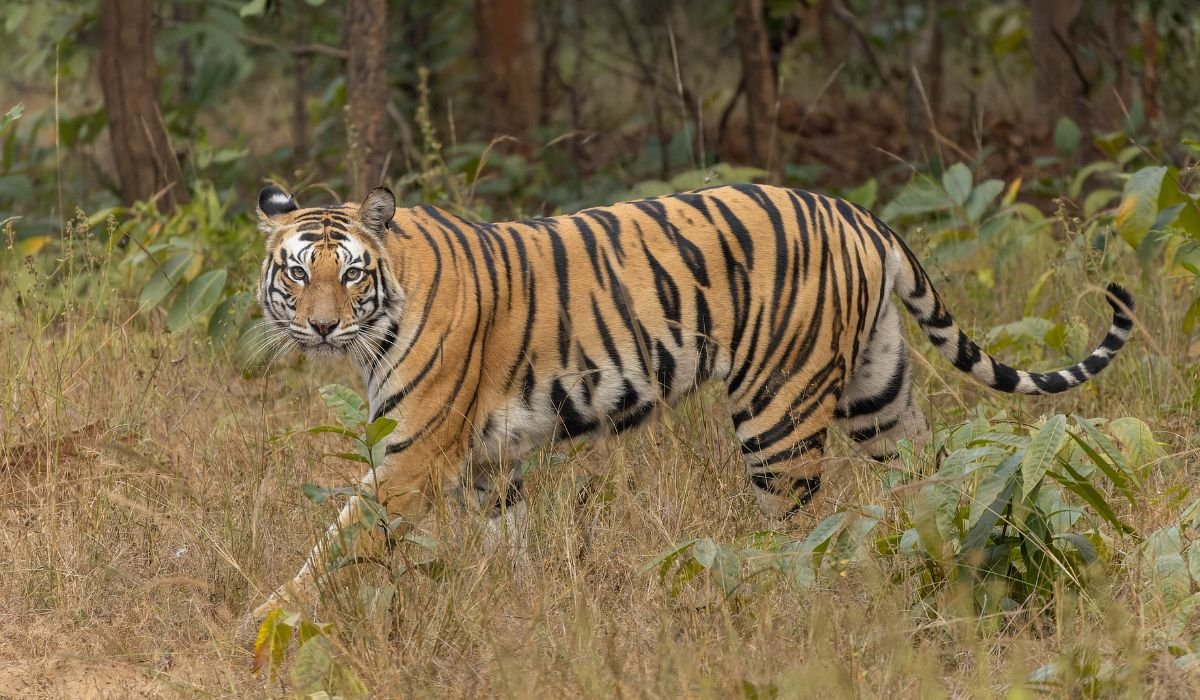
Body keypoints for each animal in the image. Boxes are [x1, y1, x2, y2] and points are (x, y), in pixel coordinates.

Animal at [250, 182, 1133, 618]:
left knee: (798, 532)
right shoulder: (489, 464)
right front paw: (523, 606)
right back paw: (938, 565)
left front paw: (269, 620)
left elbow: (335, 543)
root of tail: (856, 212)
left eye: (349, 274)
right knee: (928, 481)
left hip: (780, 413)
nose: (322, 326)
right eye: (297, 272)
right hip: (878, 394)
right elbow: (512, 545)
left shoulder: (414, 455)